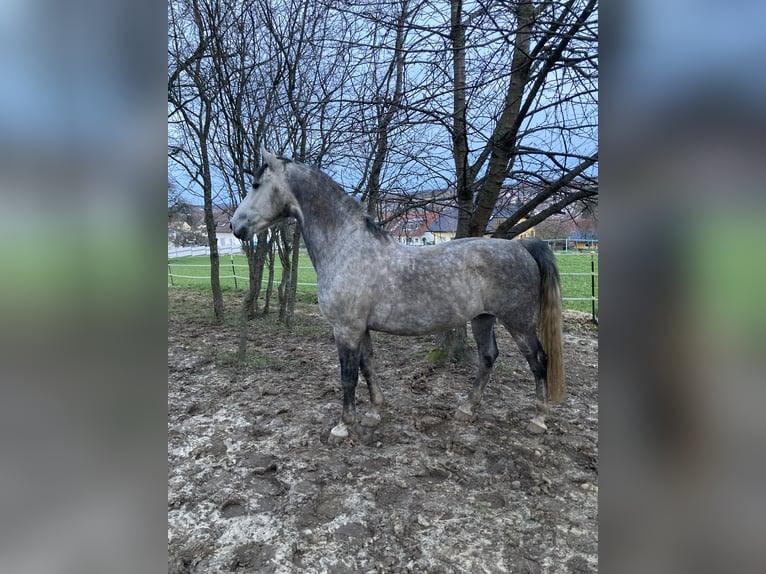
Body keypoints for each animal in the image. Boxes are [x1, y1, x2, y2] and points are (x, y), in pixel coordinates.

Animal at [231, 148, 568, 440]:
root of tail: (521, 246)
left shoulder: (346, 329)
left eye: (256, 184)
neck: (346, 247)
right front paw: (374, 413)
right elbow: (367, 367)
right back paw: (466, 409)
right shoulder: (361, 328)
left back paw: (538, 418)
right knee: (488, 358)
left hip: (519, 322)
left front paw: (343, 425)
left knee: (538, 360)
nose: (236, 226)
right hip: (483, 319)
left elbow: (348, 376)